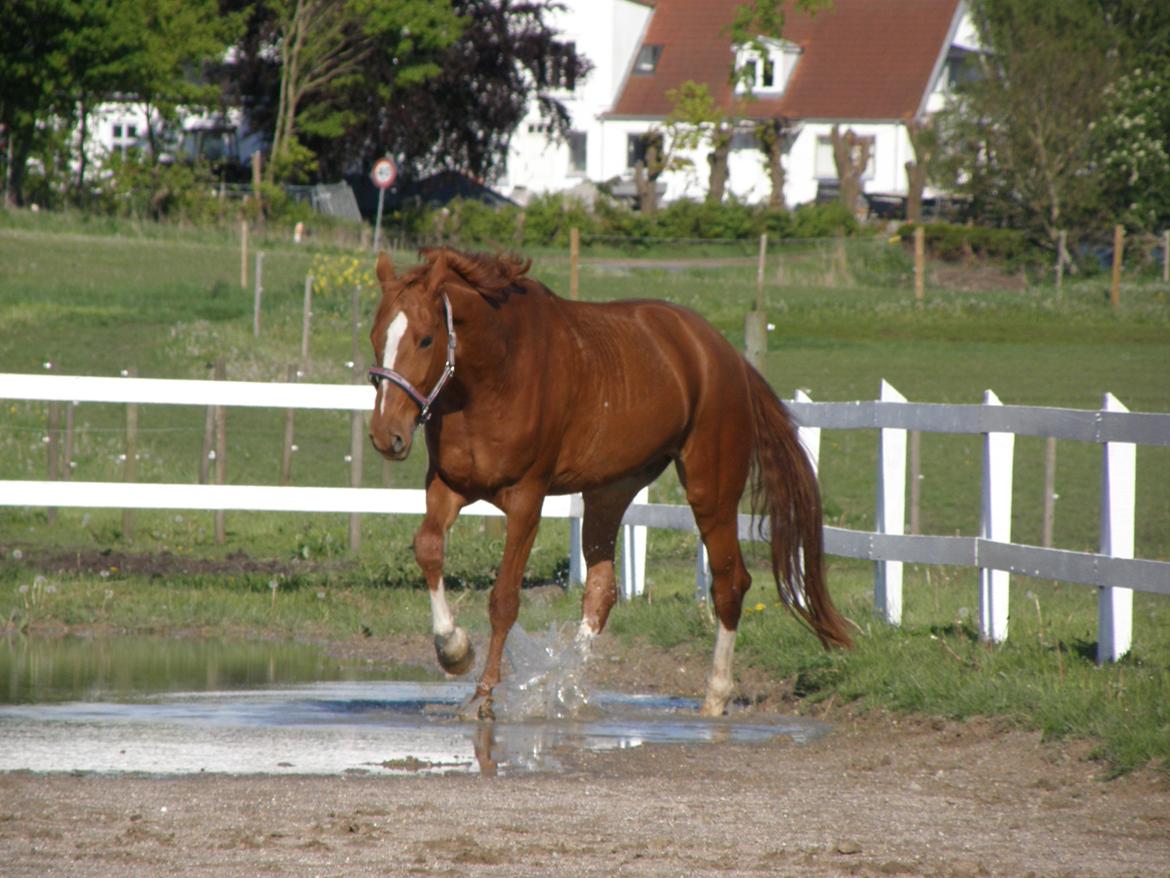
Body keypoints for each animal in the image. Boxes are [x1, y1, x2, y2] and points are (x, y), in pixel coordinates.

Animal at [365, 248, 851, 721]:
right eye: (375, 336)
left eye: (425, 339)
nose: (387, 436)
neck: (495, 373)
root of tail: (726, 356)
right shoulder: (446, 486)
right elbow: (429, 548)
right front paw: (454, 651)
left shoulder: (526, 499)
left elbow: (504, 599)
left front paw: (482, 695)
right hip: (609, 492)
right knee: (602, 592)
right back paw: (562, 687)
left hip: (710, 491)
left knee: (730, 582)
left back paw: (715, 696)